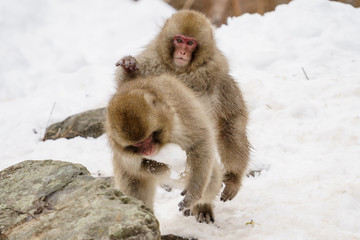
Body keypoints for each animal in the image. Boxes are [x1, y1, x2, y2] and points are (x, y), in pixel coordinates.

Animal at [105, 74, 222, 223]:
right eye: (137, 144)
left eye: (148, 138)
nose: (148, 151)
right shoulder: (122, 151)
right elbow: (136, 168)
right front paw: (161, 167)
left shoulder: (182, 116)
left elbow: (200, 142)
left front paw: (192, 194)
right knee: (134, 188)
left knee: (212, 181)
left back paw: (202, 205)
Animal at [115, 9, 250, 202]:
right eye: (179, 40)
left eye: (190, 43)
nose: (182, 52)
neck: (178, 70)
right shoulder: (150, 63)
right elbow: (126, 95)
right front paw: (128, 66)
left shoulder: (220, 79)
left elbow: (230, 122)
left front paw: (233, 178)